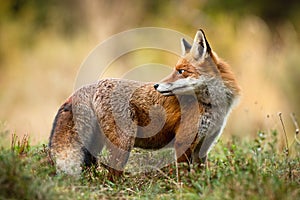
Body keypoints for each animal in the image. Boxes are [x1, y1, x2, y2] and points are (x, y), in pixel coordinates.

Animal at [49, 29, 241, 175]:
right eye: (175, 70)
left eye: (181, 71)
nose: (156, 85)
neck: (211, 106)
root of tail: (91, 85)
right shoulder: (183, 142)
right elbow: (184, 177)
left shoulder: (203, 146)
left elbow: (200, 176)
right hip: (124, 143)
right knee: (112, 175)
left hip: (95, 144)